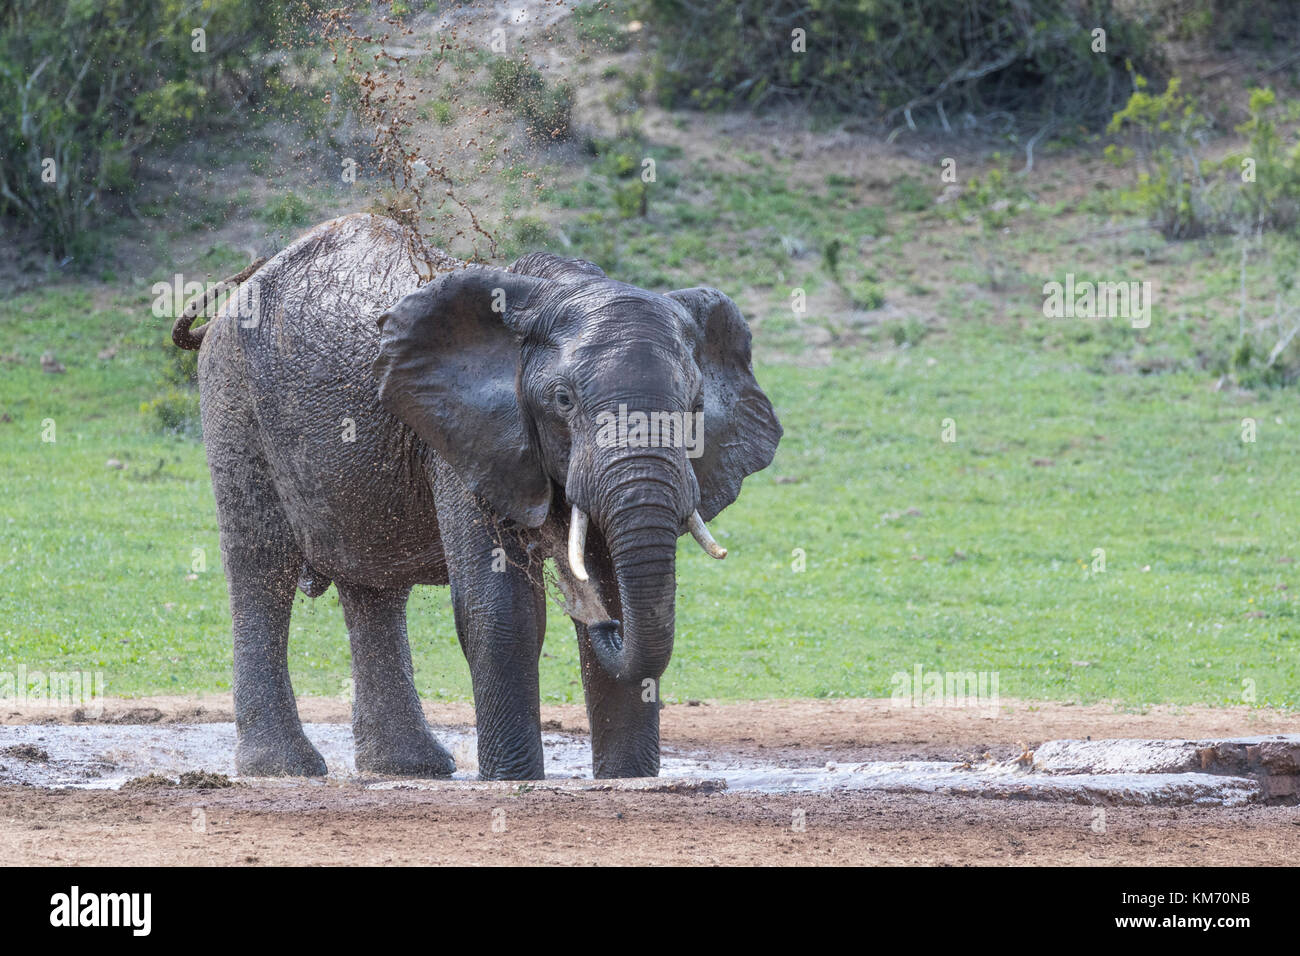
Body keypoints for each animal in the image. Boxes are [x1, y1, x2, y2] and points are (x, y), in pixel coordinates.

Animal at [171, 213, 780, 780]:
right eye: (563, 401)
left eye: (694, 408)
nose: (605, 622)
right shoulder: (462, 437)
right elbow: (502, 607)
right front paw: (515, 782)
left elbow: (610, 577)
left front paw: (628, 779)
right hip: (231, 396)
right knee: (262, 571)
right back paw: (284, 769)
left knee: (373, 589)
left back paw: (410, 768)